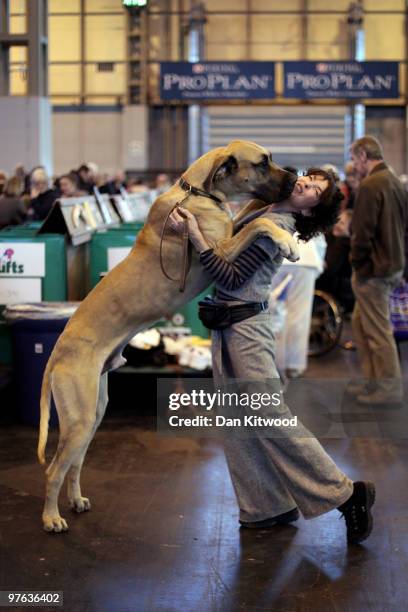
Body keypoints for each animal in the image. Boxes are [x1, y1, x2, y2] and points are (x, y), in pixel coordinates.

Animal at [39, 139, 300, 532]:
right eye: (263, 163)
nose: (296, 177)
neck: (199, 191)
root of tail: (56, 352)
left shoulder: (227, 234)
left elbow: (249, 218)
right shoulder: (221, 250)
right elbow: (261, 223)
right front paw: (286, 239)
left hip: (92, 413)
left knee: (74, 462)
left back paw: (75, 500)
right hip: (79, 417)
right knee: (54, 469)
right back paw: (51, 517)